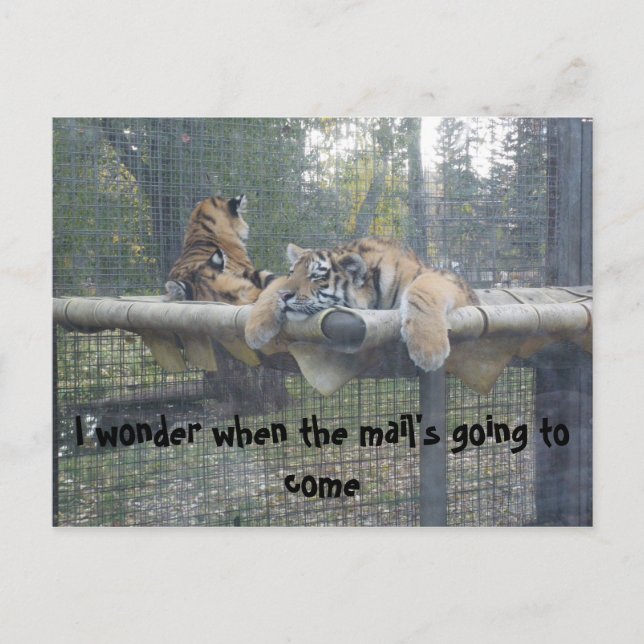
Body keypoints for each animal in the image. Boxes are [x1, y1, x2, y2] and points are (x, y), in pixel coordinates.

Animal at [244, 237, 478, 372]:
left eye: (315, 277)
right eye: (292, 273)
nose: (285, 295)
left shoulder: (445, 279)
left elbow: (422, 288)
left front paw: (429, 350)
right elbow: (272, 287)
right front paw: (254, 329)